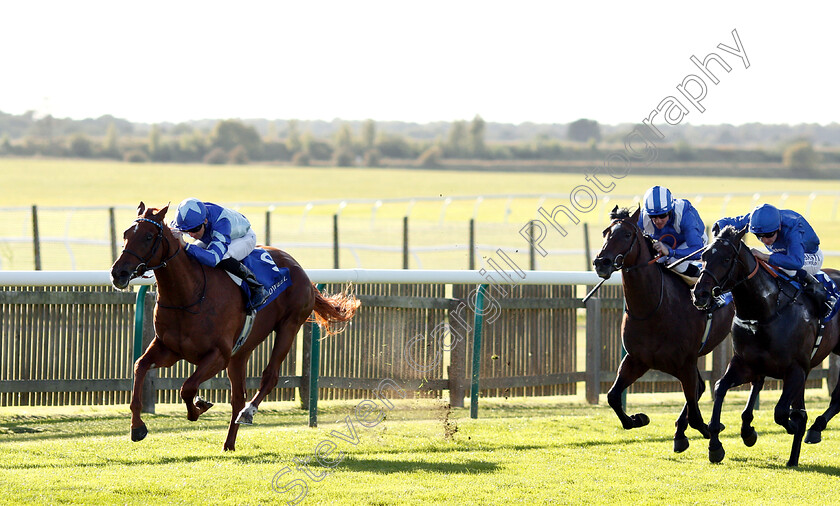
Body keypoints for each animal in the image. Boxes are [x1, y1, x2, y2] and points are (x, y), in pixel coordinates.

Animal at [110, 204, 360, 452]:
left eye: (148, 236)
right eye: (125, 234)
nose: (118, 272)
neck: (190, 293)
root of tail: (301, 270)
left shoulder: (218, 355)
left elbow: (187, 388)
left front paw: (200, 407)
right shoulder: (168, 349)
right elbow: (140, 366)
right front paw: (137, 427)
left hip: (289, 326)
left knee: (269, 377)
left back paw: (248, 412)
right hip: (241, 350)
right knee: (238, 396)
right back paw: (229, 443)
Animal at [592, 208, 736, 452]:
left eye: (627, 234)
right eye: (605, 232)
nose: (602, 262)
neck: (654, 308)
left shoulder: (685, 362)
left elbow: (695, 413)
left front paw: (711, 434)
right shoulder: (637, 359)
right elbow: (613, 396)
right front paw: (638, 418)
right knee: (699, 388)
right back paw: (679, 433)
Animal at [688, 225, 840, 466]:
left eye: (726, 259)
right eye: (703, 256)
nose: (699, 294)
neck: (766, 311)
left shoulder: (796, 369)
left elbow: (782, 412)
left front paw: (795, 424)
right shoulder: (745, 363)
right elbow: (720, 387)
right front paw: (716, 446)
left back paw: (815, 428)